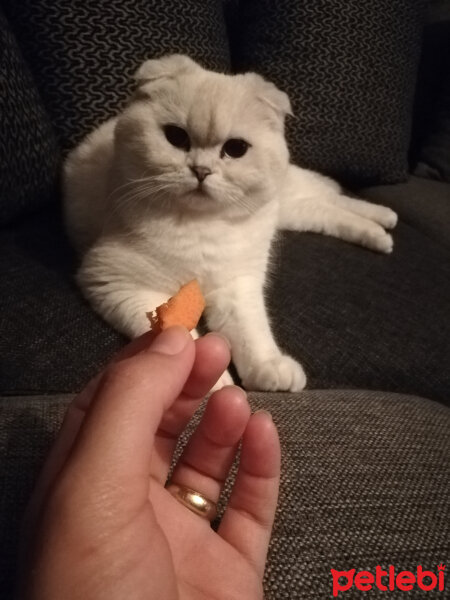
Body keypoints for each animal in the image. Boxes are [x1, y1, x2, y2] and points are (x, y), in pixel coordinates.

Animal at [64, 55, 398, 394]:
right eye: (176, 137)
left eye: (236, 149)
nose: (201, 171)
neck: (202, 225)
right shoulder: (121, 284)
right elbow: (183, 334)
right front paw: (209, 379)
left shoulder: (238, 284)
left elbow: (252, 332)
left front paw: (268, 367)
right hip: (295, 212)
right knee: (331, 210)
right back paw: (382, 233)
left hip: (289, 200)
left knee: (334, 199)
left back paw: (386, 222)